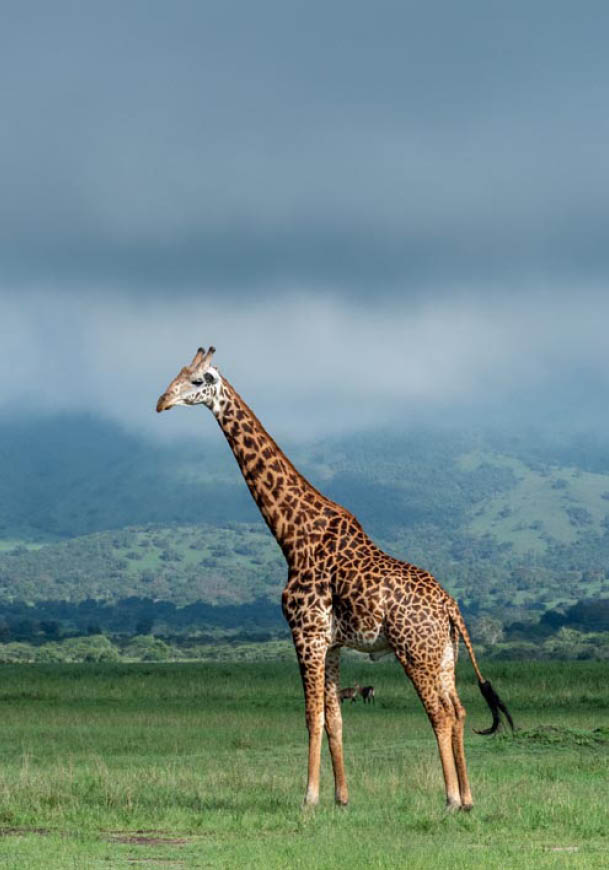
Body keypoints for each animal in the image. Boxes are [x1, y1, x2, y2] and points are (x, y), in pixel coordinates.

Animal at [156, 346, 513, 811]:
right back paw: (468, 797)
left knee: (441, 712)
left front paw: (308, 797)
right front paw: (342, 797)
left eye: (199, 380)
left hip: (414, 650)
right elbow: (335, 717)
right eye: (178, 373)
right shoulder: (332, 644)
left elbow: (312, 714)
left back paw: (451, 799)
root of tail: (451, 606)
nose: (161, 401)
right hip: (444, 654)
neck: (293, 535)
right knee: (461, 710)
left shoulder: (305, 632)